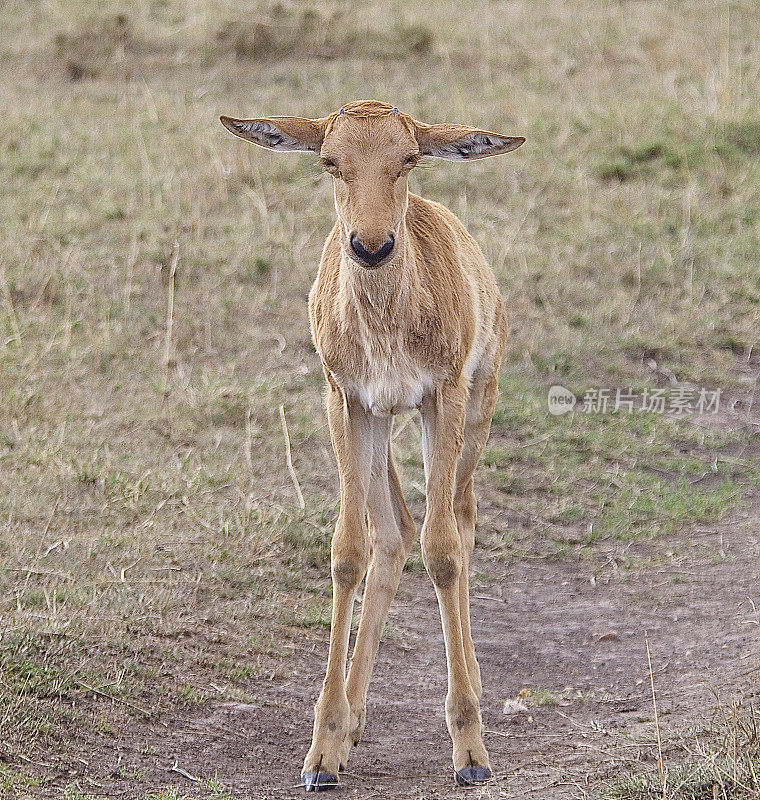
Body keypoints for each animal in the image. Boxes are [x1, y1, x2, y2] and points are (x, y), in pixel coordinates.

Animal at [220, 98, 524, 788]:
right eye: (331, 161)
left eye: (407, 158)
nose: (371, 246)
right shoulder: (347, 402)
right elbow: (347, 553)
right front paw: (322, 753)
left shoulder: (444, 398)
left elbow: (444, 551)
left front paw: (471, 752)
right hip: (380, 427)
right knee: (394, 534)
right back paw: (353, 720)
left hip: (476, 408)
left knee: (458, 521)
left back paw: (471, 692)